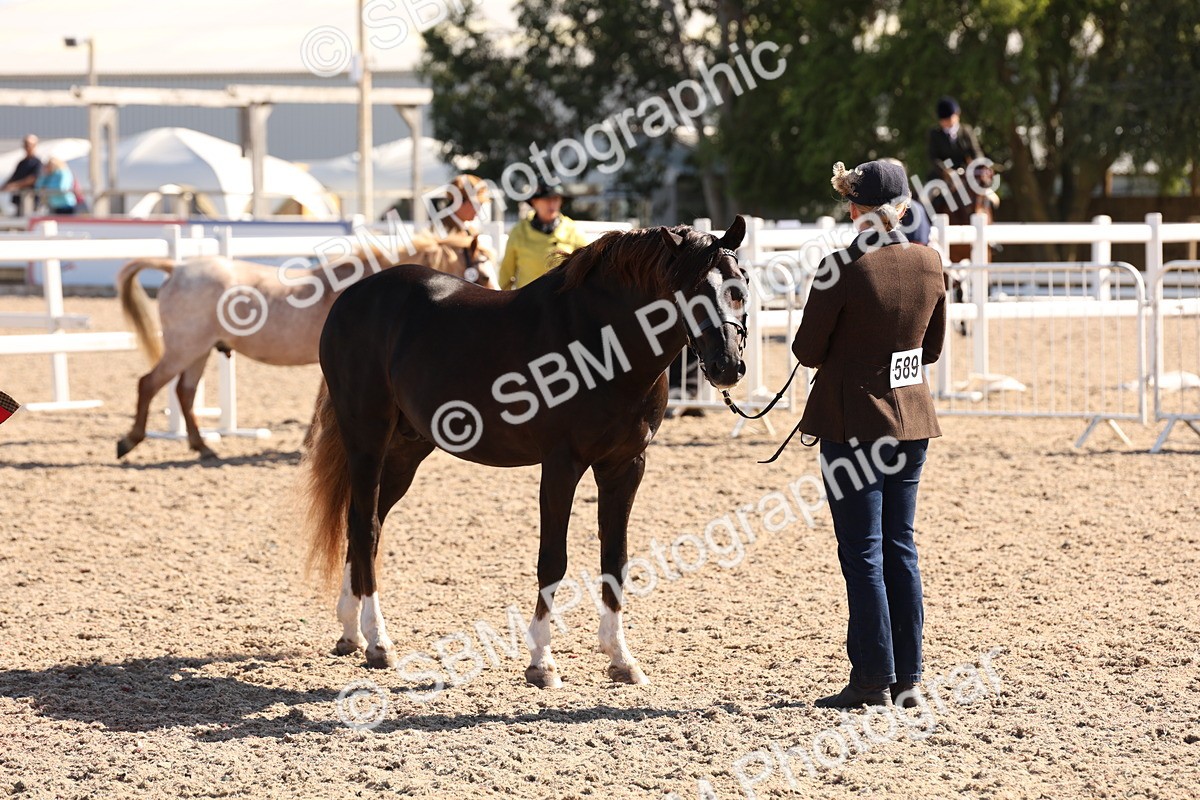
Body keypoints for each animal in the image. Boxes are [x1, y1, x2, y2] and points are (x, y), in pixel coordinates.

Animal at [115, 232, 497, 460]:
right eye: (482, 272)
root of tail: (177, 268)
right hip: (185, 348)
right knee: (149, 384)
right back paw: (131, 440)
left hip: (199, 351)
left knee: (185, 391)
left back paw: (203, 446)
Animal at [303, 217, 750, 686]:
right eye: (690, 290)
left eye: (740, 286)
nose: (727, 366)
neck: (600, 342)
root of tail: (352, 297)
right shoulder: (561, 464)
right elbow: (553, 560)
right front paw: (541, 662)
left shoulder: (625, 466)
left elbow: (616, 558)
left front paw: (621, 658)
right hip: (366, 437)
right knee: (365, 526)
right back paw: (378, 642)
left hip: (407, 449)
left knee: (362, 523)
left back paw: (351, 632)